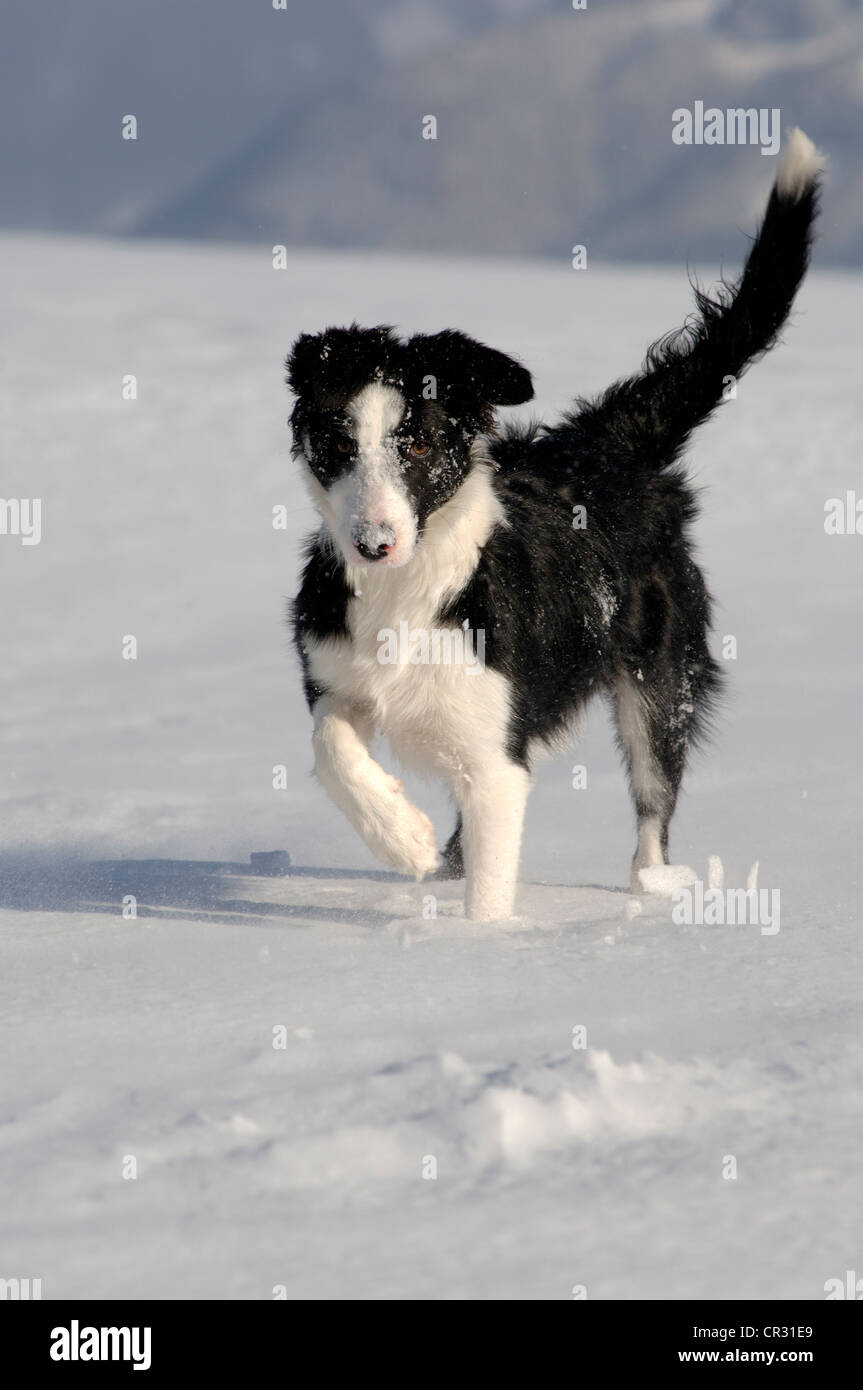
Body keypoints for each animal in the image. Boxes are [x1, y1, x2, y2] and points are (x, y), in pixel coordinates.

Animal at [286, 125, 817, 917]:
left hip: (660, 674)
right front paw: (403, 838)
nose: (374, 543)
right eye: (339, 445)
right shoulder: (336, 672)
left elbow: (490, 882)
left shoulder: (497, 751)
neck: (410, 589)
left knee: (654, 798)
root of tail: (607, 442)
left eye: (417, 445)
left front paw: (478, 939)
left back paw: (651, 894)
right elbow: (330, 746)